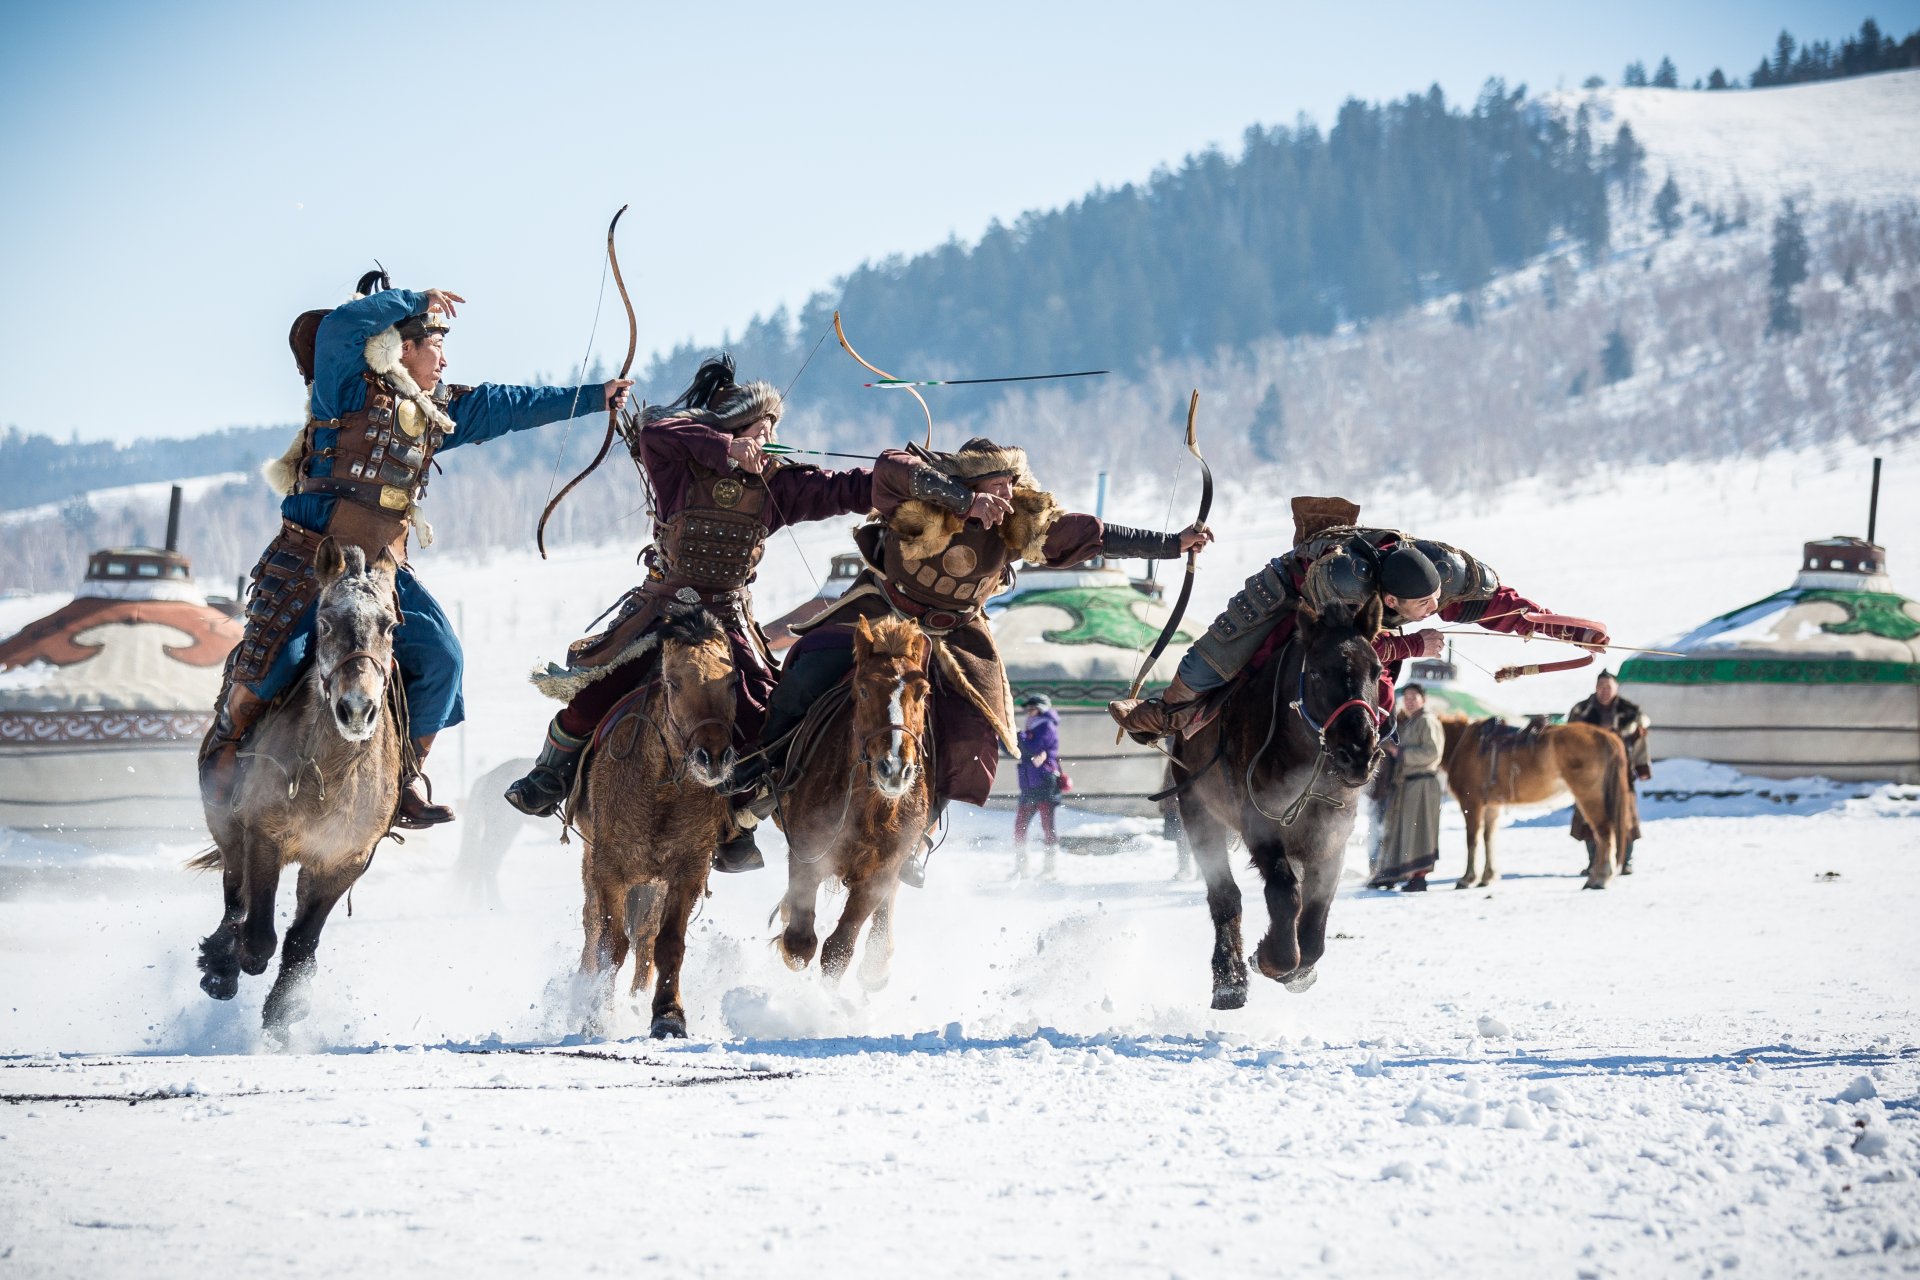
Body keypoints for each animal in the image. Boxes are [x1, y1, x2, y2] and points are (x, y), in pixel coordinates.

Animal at [192, 537, 403, 1043]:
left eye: (389, 626)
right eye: (323, 623)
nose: (357, 710)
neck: (330, 778)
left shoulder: (343, 861)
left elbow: (302, 940)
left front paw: (284, 1012)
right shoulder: (263, 837)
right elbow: (259, 933)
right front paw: (235, 963)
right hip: (227, 828)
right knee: (235, 895)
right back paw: (220, 966)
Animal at [564, 606, 737, 1036]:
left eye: (732, 683)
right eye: (674, 684)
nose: (713, 756)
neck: (661, 792)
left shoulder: (686, 870)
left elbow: (667, 941)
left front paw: (668, 1014)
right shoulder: (609, 866)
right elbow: (609, 944)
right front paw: (594, 1014)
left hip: (651, 882)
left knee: (643, 935)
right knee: (594, 926)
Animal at [775, 614, 933, 990]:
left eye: (923, 692)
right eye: (862, 689)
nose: (895, 768)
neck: (870, 809)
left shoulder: (882, 870)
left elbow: (838, 949)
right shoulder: (807, 852)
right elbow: (800, 942)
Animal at [1167, 602, 1397, 1013]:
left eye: (1376, 670)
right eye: (1317, 671)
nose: (1358, 753)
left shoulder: (1331, 836)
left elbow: (1317, 910)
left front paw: (1299, 968)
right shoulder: (1260, 825)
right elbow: (1284, 894)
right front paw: (1271, 959)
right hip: (1197, 809)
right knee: (1225, 895)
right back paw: (1229, 982)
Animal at [1443, 721, 1635, 890]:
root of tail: (1606, 736)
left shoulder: (1471, 804)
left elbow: (1472, 840)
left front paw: (1467, 879)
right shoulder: (1491, 807)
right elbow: (1488, 838)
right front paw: (1488, 876)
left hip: (1589, 797)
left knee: (1604, 834)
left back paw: (1599, 879)